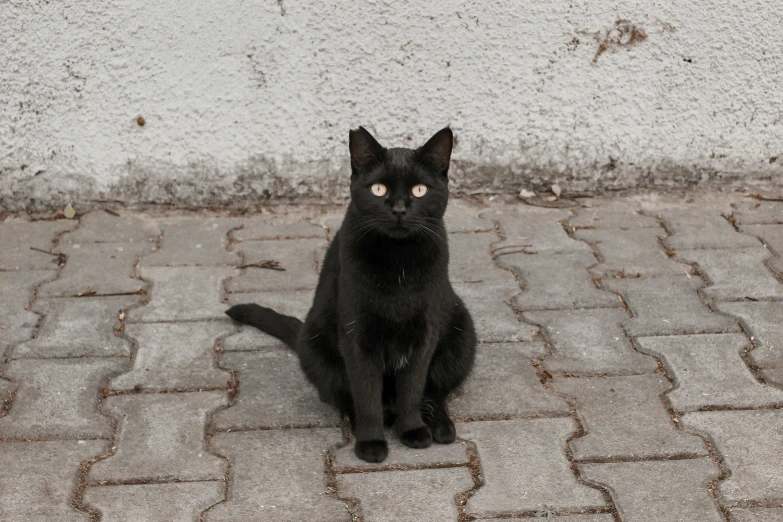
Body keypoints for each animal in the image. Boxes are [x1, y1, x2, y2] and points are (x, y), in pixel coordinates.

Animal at [227, 128, 478, 462]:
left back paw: (439, 426)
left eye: (420, 189)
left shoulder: (425, 332)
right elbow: (365, 392)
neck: (398, 263)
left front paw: (412, 430)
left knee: (435, 392)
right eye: (378, 188)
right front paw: (371, 442)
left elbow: (413, 387)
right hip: (315, 345)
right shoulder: (356, 335)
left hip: (462, 332)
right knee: (344, 397)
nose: (399, 209)